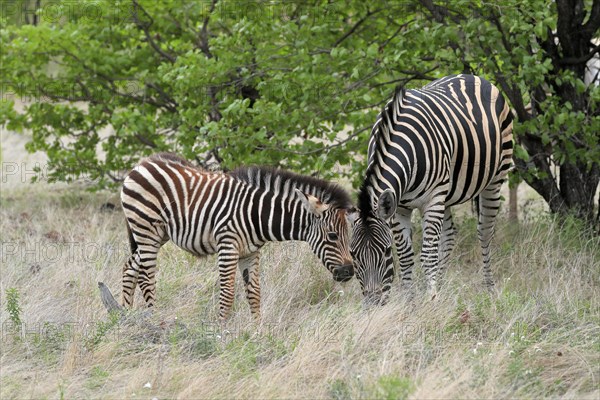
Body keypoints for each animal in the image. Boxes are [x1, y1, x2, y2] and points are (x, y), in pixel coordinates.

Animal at [122, 153, 356, 318]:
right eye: (333, 236)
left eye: (348, 236)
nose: (349, 272)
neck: (257, 214)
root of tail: (143, 162)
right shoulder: (228, 246)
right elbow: (227, 294)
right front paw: (221, 336)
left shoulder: (250, 253)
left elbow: (254, 294)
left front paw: (257, 333)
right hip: (146, 230)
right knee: (146, 277)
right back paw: (154, 320)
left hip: (156, 235)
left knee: (129, 267)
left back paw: (124, 318)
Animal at [350, 74, 512, 304]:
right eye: (353, 254)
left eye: (386, 251)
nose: (374, 303)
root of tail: (471, 76)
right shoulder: (399, 207)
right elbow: (406, 256)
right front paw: (410, 301)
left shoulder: (432, 198)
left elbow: (427, 254)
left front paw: (430, 299)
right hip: (448, 193)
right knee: (450, 235)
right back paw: (442, 287)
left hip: (495, 178)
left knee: (484, 232)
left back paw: (489, 290)